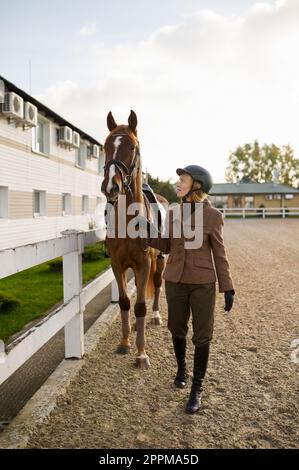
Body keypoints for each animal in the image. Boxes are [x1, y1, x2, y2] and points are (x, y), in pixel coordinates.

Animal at [100, 109, 166, 368]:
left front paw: (141, 353)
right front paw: (125, 343)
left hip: (159, 261)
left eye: (132, 146)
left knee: (156, 285)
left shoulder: (144, 263)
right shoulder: (117, 265)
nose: (110, 186)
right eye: (106, 146)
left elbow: (139, 306)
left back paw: (156, 316)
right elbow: (126, 302)